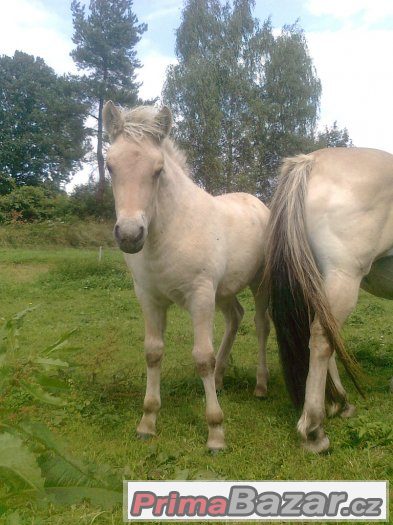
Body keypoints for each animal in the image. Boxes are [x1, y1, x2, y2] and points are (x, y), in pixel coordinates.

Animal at [101, 102, 270, 450]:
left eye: (158, 170)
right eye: (110, 167)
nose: (130, 235)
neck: (170, 231)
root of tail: (259, 203)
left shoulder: (200, 296)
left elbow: (202, 356)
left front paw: (216, 432)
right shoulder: (149, 298)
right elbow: (153, 353)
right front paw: (148, 421)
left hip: (258, 285)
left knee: (261, 325)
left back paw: (261, 386)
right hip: (225, 291)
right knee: (235, 317)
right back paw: (219, 379)